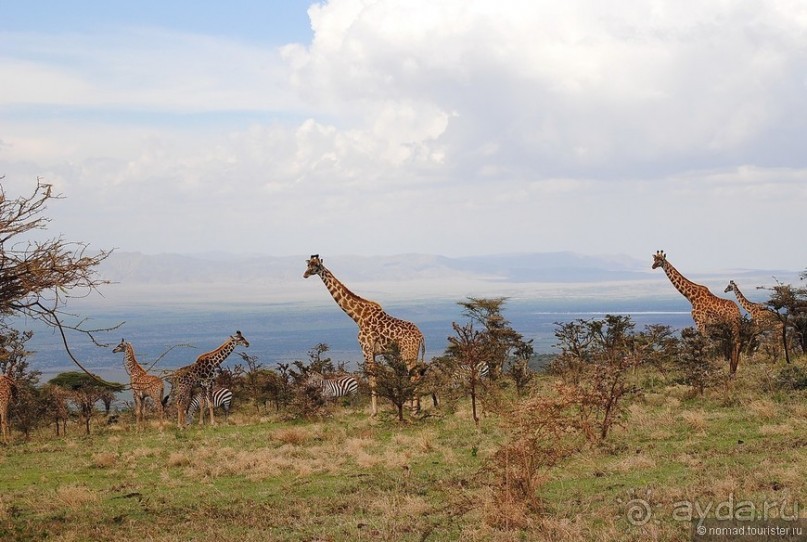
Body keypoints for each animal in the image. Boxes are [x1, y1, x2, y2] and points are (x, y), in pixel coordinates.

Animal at [304, 255, 430, 416]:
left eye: (315, 266)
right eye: (308, 264)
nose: (305, 274)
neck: (358, 317)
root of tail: (421, 336)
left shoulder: (366, 349)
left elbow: (371, 380)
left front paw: (374, 412)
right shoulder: (374, 352)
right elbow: (375, 378)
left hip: (408, 353)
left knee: (414, 377)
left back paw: (414, 411)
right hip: (413, 353)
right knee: (417, 375)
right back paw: (415, 408)